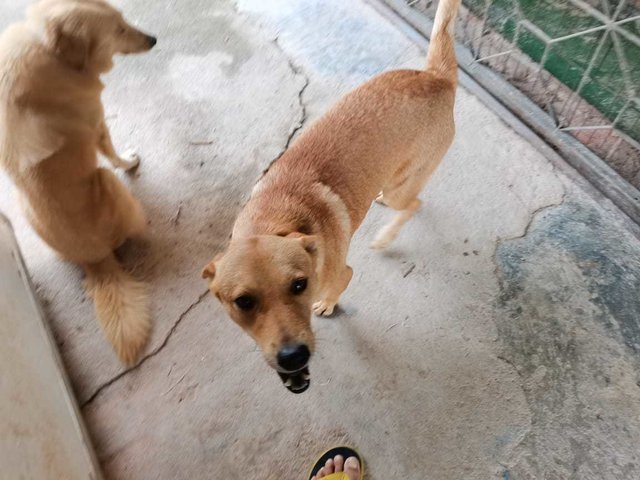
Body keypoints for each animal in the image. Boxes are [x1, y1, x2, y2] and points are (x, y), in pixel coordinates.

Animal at [202, 0, 462, 392]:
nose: (293, 357)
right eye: (243, 302)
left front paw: (327, 304)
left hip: (404, 189)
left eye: (299, 285)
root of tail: (437, 78)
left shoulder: (342, 273)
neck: (275, 220)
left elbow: (340, 285)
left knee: (415, 204)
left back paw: (385, 237)